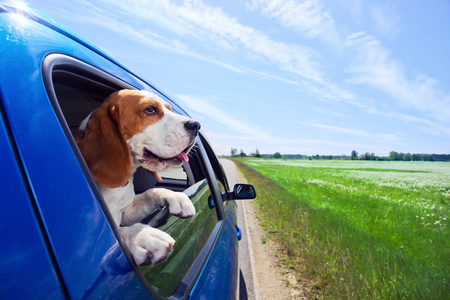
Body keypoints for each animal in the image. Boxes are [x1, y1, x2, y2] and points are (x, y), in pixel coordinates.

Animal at [76, 89, 200, 264]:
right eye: (150, 110)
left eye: (169, 109)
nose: (196, 126)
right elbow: (119, 232)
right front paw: (142, 237)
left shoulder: (125, 212)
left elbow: (150, 193)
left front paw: (176, 196)